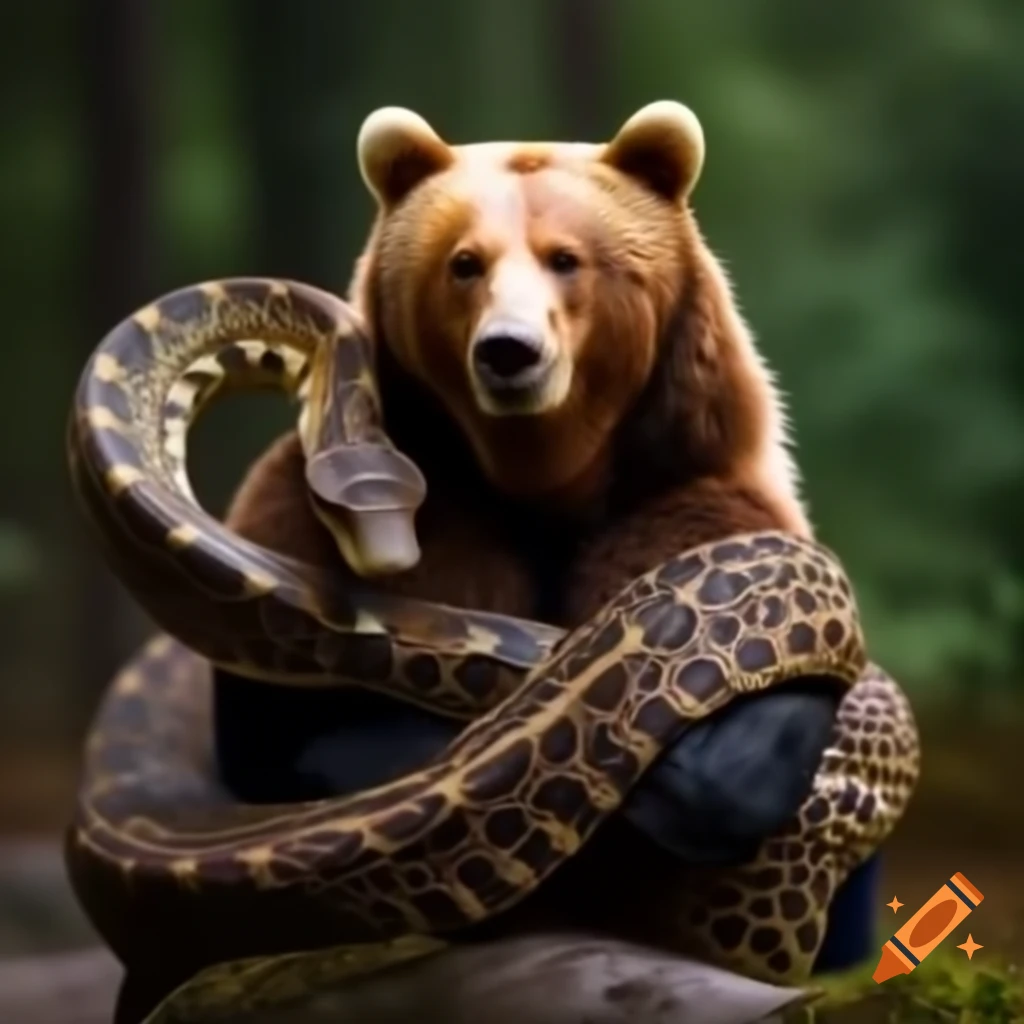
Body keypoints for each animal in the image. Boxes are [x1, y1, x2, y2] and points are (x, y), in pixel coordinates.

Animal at [213, 101, 854, 982]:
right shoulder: (316, 520)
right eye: (464, 263)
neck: (542, 479)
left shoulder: (700, 514)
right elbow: (279, 728)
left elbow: (739, 736)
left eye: (566, 259)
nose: (510, 350)